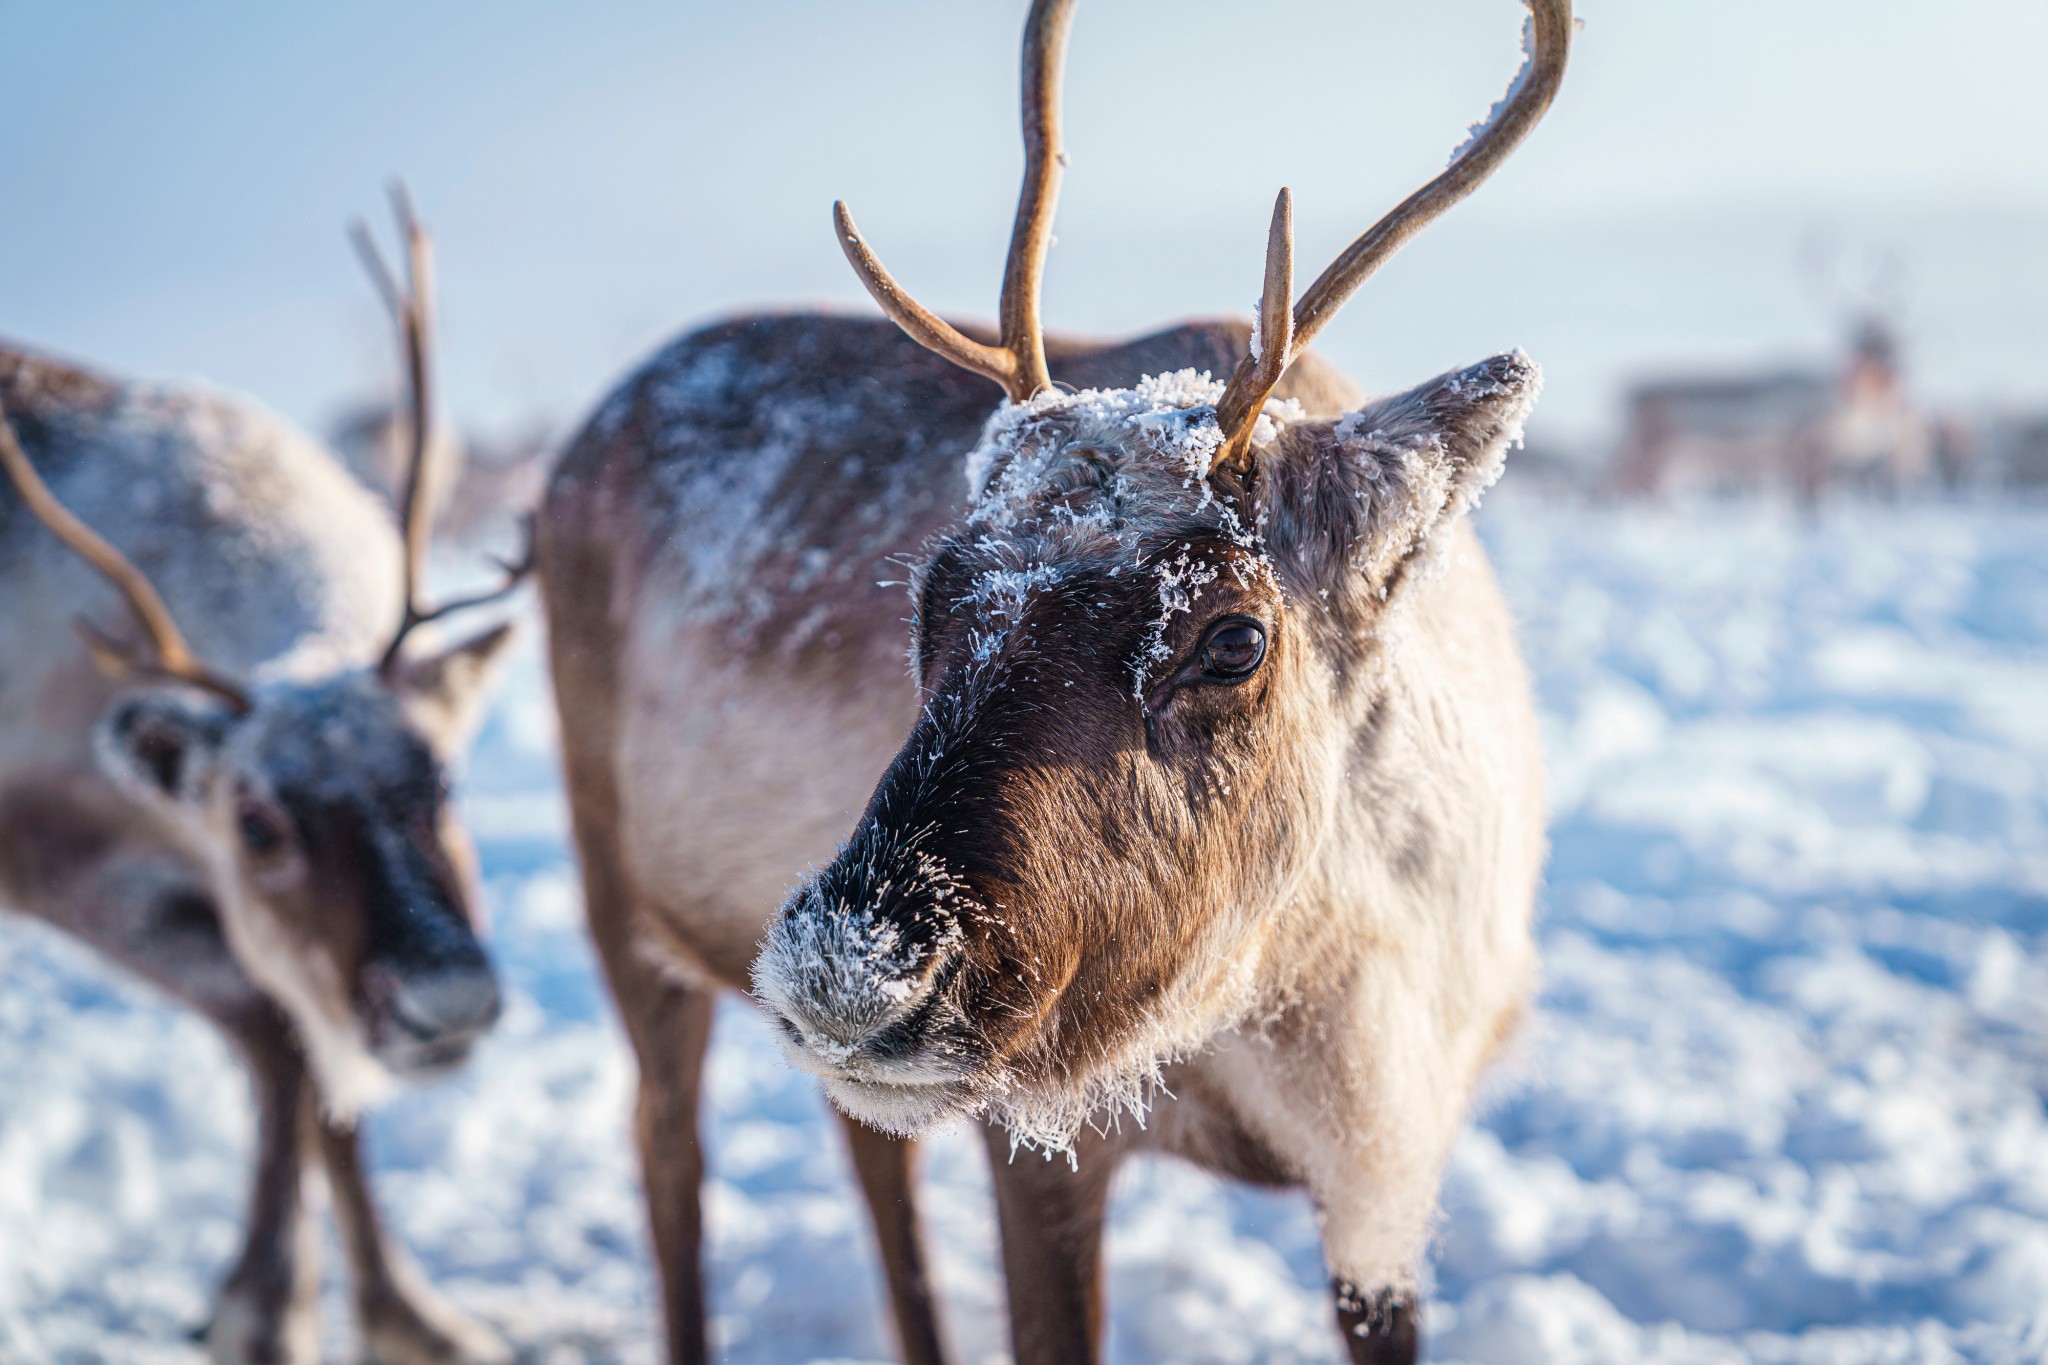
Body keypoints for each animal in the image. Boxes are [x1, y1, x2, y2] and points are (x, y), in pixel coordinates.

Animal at [0, 190, 523, 1365]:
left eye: (443, 780)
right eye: (254, 820)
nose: (449, 1002)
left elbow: (314, 1054)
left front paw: (410, 1313)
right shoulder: (58, 859)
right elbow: (279, 1033)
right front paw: (269, 1303)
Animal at [535, 2, 1568, 1361]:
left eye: (1234, 637)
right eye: (930, 591)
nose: (843, 968)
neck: (1319, 995)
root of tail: (575, 447)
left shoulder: (1387, 1180)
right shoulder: (1036, 1148)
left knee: (865, 1159)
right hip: (620, 899)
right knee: (668, 1152)